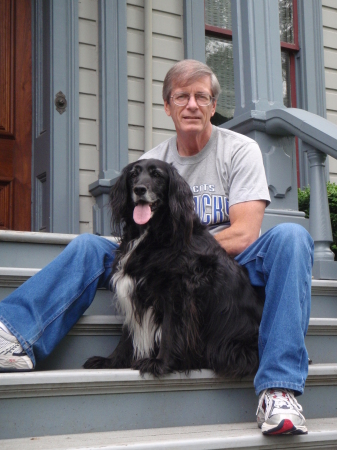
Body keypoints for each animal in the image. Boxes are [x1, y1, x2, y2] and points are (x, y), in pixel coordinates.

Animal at [84, 160, 262, 378]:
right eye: (133, 175)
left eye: (157, 175)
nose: (139, 189)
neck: (152, 234)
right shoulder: (133, 289)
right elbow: (127, 333)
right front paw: (112, 361)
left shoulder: (178, 291)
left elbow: (171, 328)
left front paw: (161, 363)